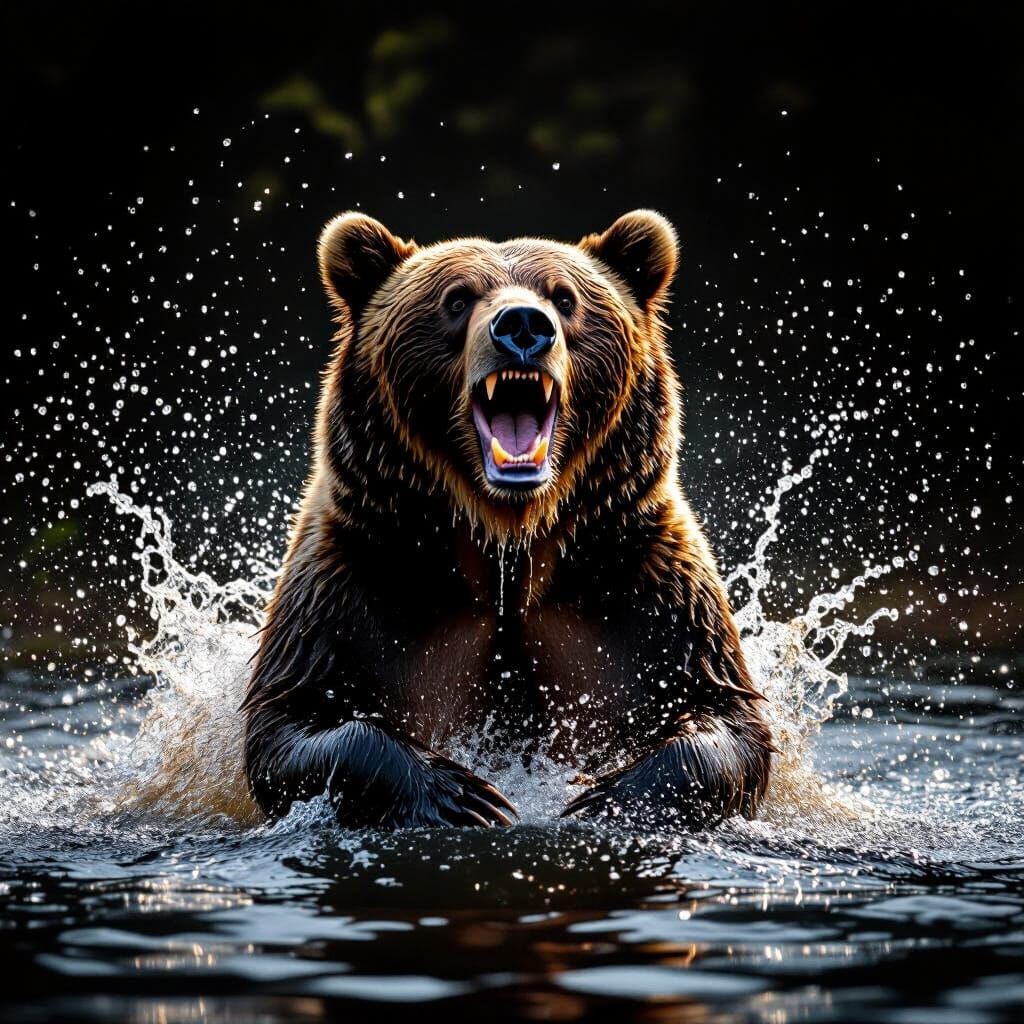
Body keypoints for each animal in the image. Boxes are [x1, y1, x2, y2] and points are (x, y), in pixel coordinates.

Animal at [242, 209, 773, 830]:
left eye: (565, 297)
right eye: (456, 298)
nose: (522, 325)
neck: (507, 542)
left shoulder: (644, 581)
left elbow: (723, 712)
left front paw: (609, 795)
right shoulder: (356, 578)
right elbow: (292, 721)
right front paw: (459, 794)